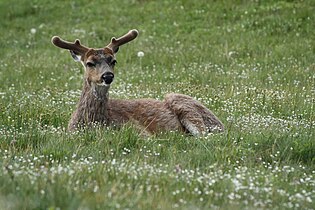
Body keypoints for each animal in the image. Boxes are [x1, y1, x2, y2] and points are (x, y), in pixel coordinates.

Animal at [51, 29, 225, 136]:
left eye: (113, 61)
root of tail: (222, 125)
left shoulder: (138, 130)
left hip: (183, 103)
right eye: (89, 63)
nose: (108, 76)